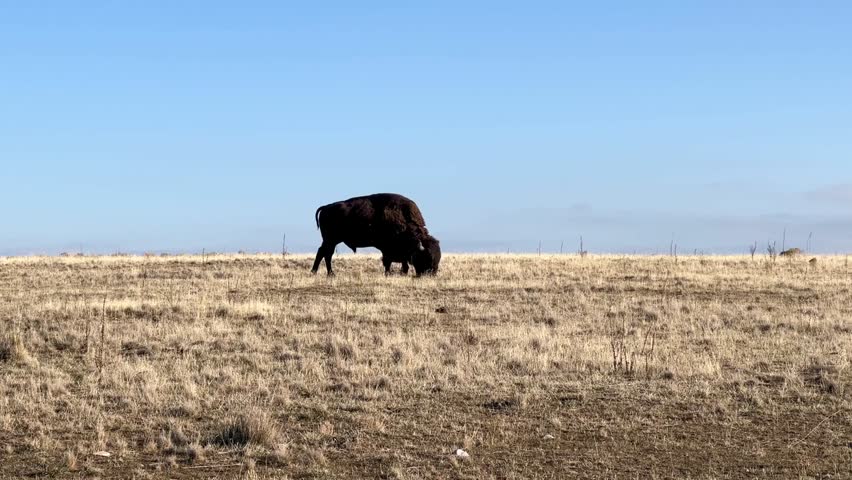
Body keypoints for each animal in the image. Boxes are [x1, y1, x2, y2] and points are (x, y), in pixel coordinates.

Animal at [311, 193, 441, 276]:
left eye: (438, 258)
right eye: (426, 258)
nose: (432, 274)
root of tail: (326, 207)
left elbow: (402, 262)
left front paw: (402, 273)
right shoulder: (387, 249)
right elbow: (387, 261)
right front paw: (388, 273)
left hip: (331, 241)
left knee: (325, 253)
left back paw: (323, 273)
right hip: (330, 240)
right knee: (325, 253)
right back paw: (325, 273)